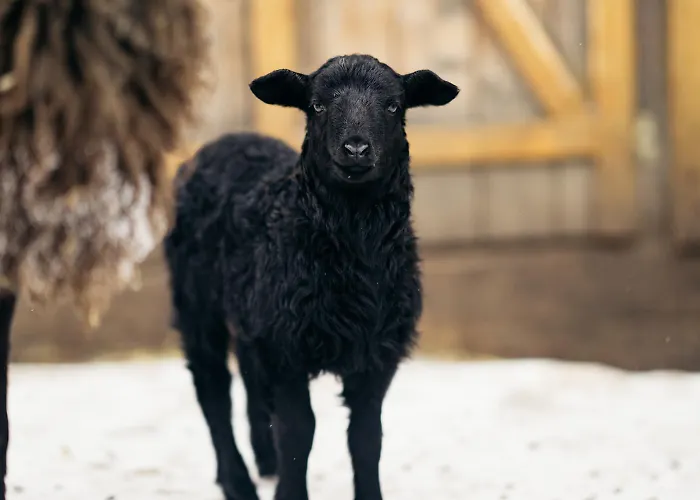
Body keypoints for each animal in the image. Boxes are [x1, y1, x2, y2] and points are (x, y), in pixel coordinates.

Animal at [165, 54, 459, 500]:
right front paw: (289, 491)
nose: (355, 148)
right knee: (212, 390)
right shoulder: (288, 347)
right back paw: (237, 481)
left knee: (249, 375)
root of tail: (225, 141)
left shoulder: (377, 351)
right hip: (197, 302)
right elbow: (299, 432)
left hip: (254, 308)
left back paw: (264, 460)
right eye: (317, 106)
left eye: (394, 106)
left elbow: (366, 438)